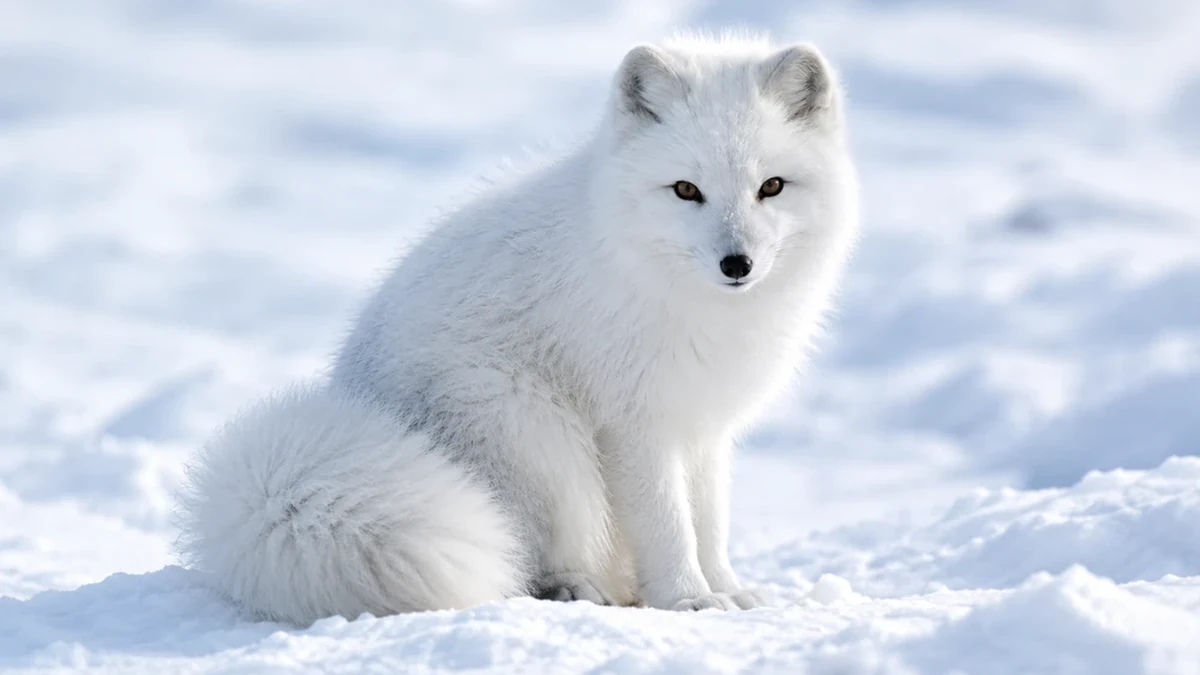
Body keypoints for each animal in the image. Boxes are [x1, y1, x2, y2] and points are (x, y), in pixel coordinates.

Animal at [177, 33, 860, 626]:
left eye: (772, 186)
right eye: (686, 189)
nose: (736, 264)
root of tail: (358, 403)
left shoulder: (702, 427)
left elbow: (709, 523)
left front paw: (728, 591)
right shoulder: (633, 424)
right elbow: (669, 526)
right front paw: (687, 600)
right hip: (534, 430)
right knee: (524, 563)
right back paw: (576, 590)